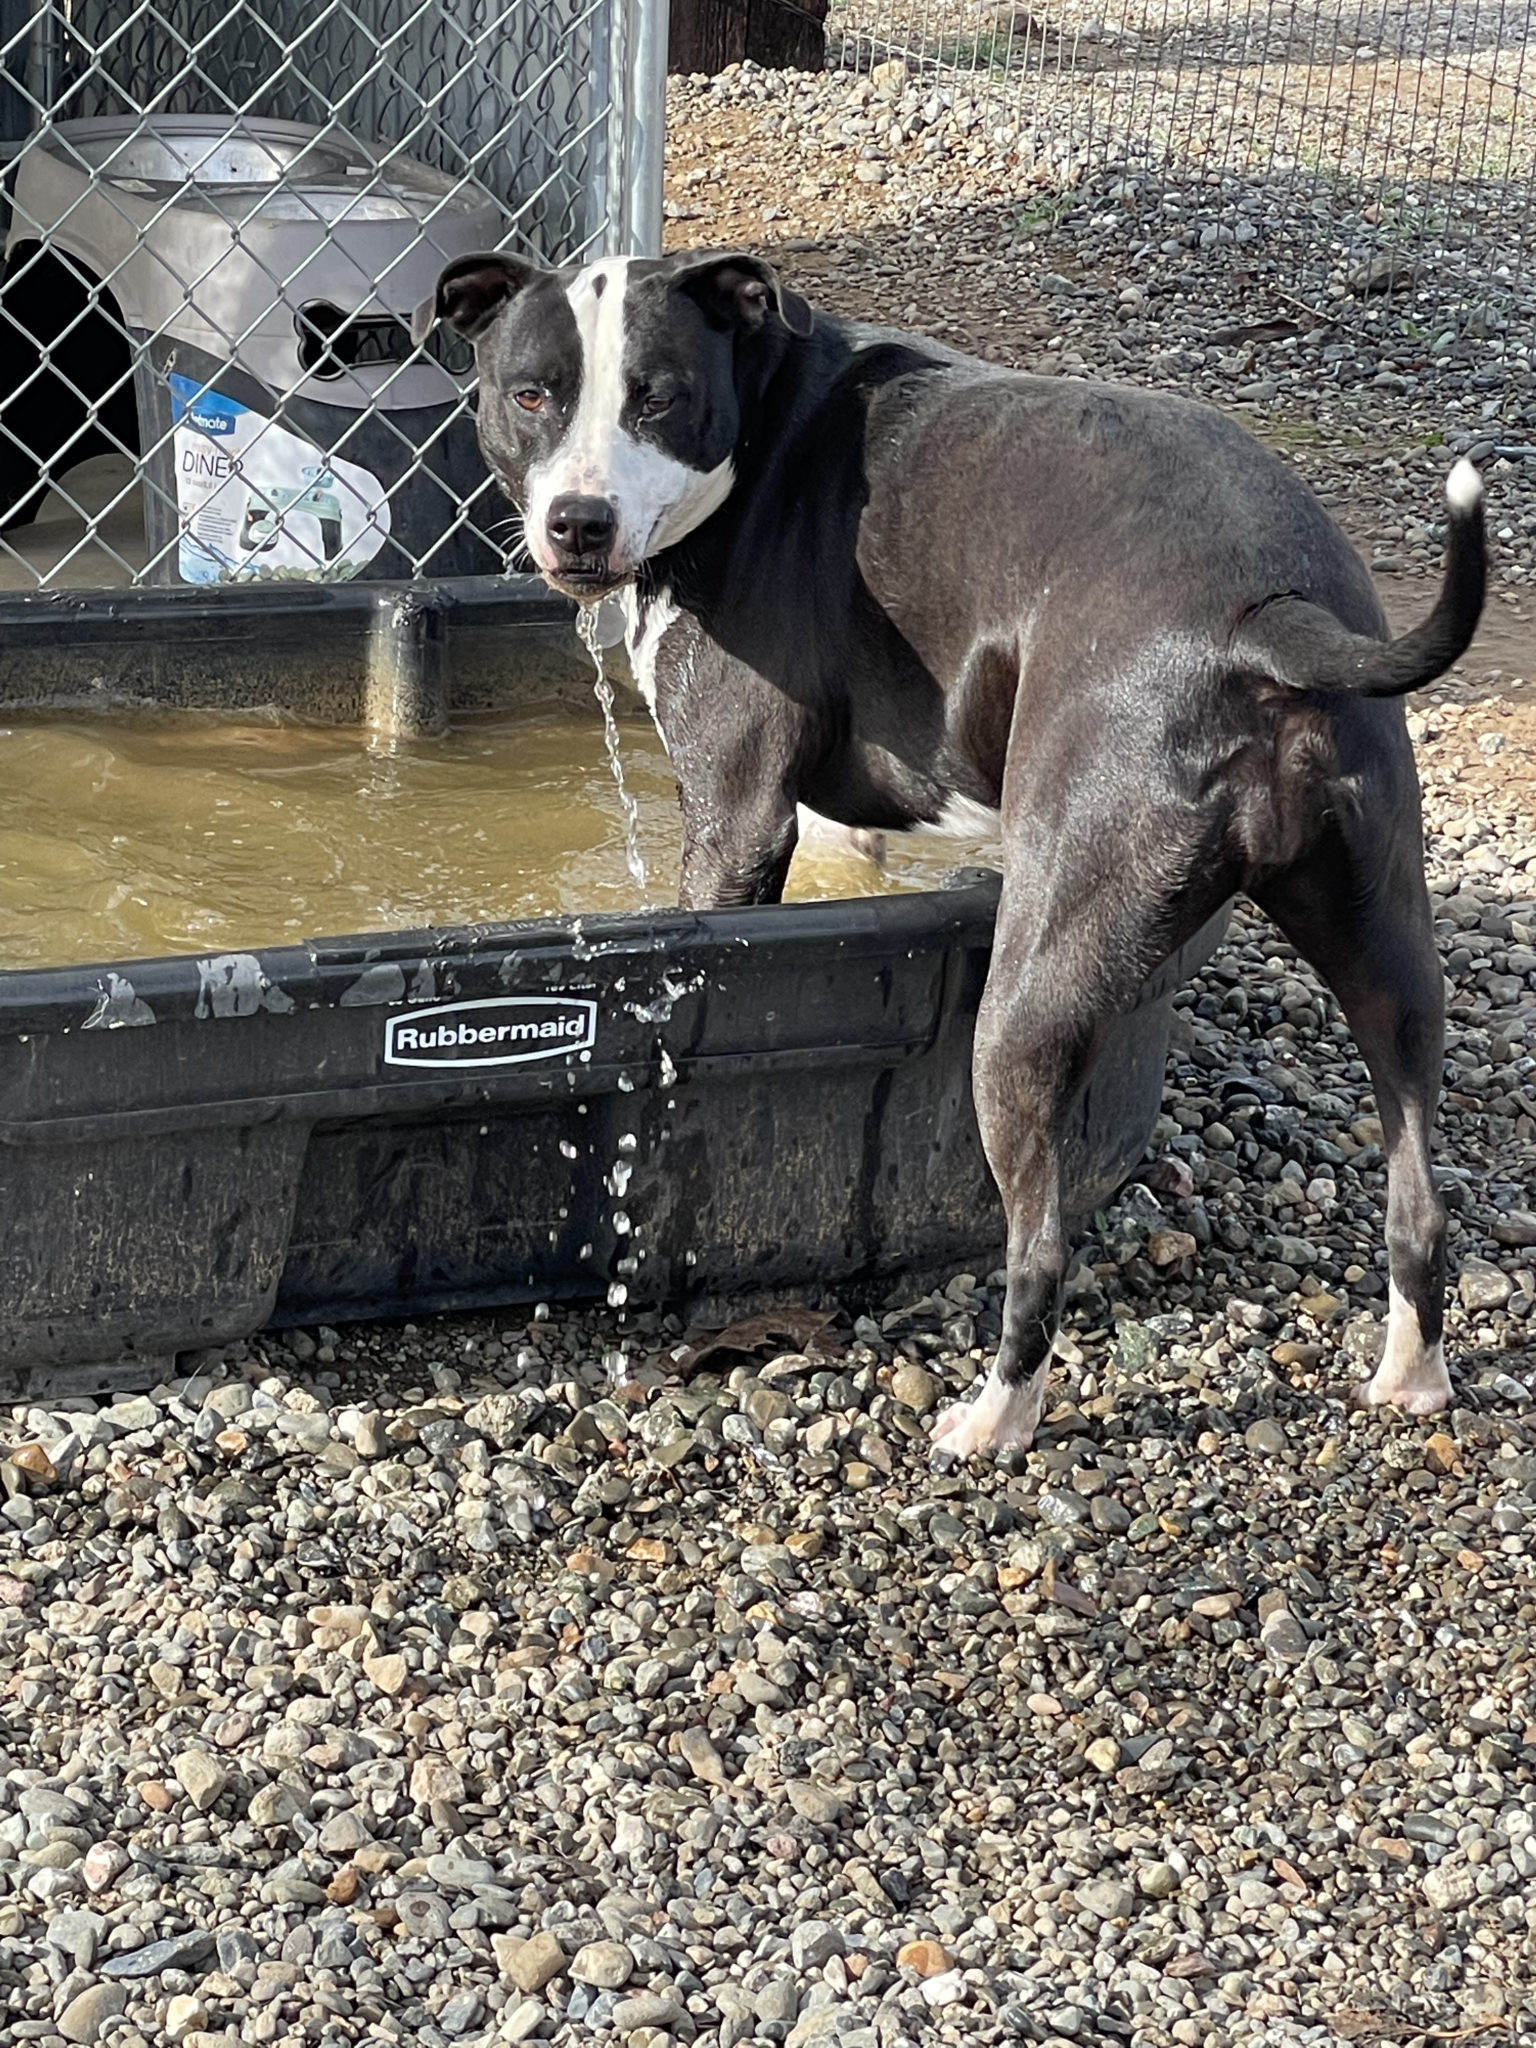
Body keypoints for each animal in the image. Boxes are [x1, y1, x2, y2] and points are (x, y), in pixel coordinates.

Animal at [417, 247, 1490, 1458]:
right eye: (532, 395)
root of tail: (1276, 618)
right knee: (1416, 1191)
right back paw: (1410, 1374)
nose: (580, 523)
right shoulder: (841, 827)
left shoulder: (735, 817)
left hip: (1025, 999)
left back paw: (994, 1417)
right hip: (1389, 950)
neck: (764, 419)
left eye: (661, 398)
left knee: (1040, 1244)